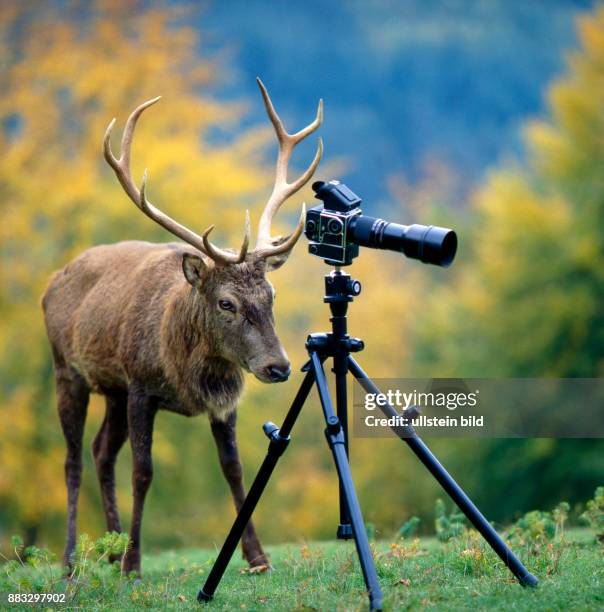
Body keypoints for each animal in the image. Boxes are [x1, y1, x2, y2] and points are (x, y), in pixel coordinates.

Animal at [42, 79, 324, 576]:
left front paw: (257, 557)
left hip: (111, 389)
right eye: (226, 302)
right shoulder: (141, 386)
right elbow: (144, 471)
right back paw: (73, 560)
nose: (278, 367)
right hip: (67, 371)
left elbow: (233, 467)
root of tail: (51, 284)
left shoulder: (224, 401)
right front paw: (134, 565)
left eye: (271, 295)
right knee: (73, 460)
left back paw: (110, 549)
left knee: (100, 451)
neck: (185, 373)